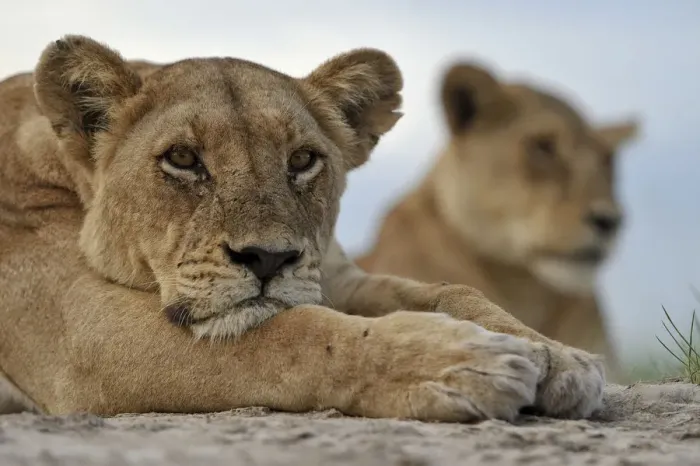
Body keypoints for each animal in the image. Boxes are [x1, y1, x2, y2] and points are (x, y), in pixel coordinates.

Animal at [0, 36, 604, 421]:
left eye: (303, 160)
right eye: (182, 158)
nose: (268, 258)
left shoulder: (332, 275)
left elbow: (450, 290)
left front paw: (554, 354)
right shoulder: (83, 330)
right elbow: (295, 336)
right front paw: (458, 364)